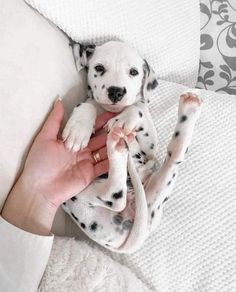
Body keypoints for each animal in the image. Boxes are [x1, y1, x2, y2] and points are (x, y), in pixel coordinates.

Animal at [61, 41, 202, 253]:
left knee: (172, 158)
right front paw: (78, 129)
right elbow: (87, 105)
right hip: (77, 191)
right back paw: (117, 148)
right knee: (116, 194)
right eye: (99, 68)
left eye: (134, 72)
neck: (112, 111)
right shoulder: (89, 103)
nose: (116, 91)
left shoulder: (150, 147)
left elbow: (137, 109)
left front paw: (124, 119)